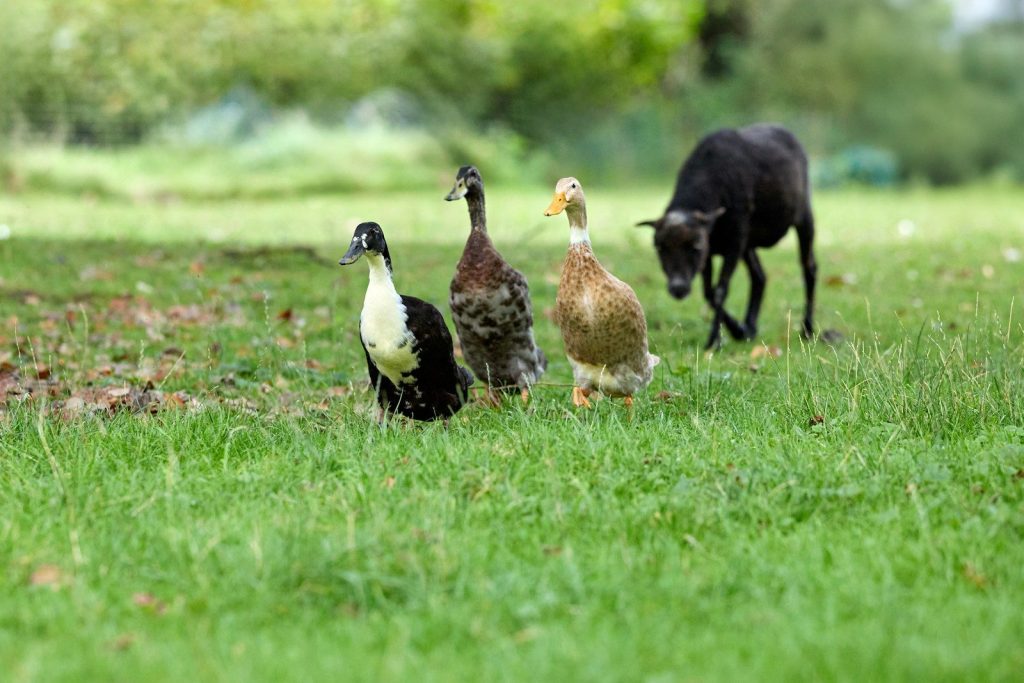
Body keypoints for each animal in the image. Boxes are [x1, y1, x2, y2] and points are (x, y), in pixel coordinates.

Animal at [637, 124, 818, 349]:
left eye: (695, 246)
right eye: (659, 247)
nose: (678, 288)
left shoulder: (732, 242)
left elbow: (720, 290)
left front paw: (714, 340)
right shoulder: (711, 250)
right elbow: (709, 292)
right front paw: (738, 331)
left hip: (803, 218)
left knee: (809, 268)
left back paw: (807, 329)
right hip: (749, 241)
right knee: (759, 276)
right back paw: (750, 327)